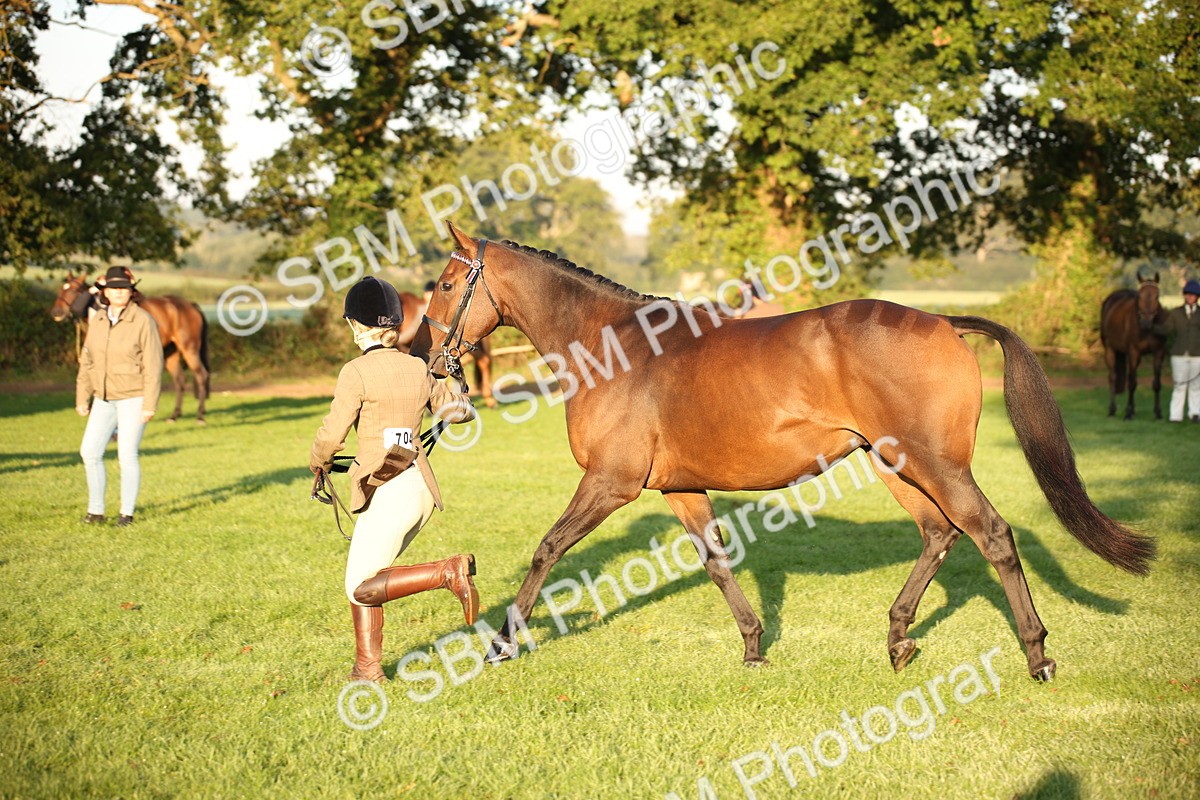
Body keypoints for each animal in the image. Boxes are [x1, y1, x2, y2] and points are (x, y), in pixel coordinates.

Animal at [51, 275, 211, 423]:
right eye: (60, 290)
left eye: (73, 290)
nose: (56, 312)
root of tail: (191, 305)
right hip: (171, 354)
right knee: (180, 380)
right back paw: (174, 416)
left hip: (189, 349)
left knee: (201, 375)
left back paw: (200, 416)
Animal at [410, 223, 1156, 683]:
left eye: (444, 285)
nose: (426, 356)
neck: (612, 348)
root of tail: (944, 321)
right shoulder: (680, 490)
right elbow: (717, 563)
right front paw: (753, 647)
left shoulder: (609, 482)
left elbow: (546, 549)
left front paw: (501, 644)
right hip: (897, 466)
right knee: (941, 535)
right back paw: (898, 638)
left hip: (935, 465)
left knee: (991, 534)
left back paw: (1036, 656)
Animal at [1100, 273, 1168, 420]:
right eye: (1140, 296)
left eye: (1157, 296)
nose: (1146, 321)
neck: (1146, 331)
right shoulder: (1134, 352)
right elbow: (1131, 383)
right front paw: (1128, 413)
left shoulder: (1159, 352)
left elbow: (1157, 383)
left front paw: (1158, 412)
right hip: (1110, 349)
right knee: (1113, 377)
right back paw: (1112, 410)